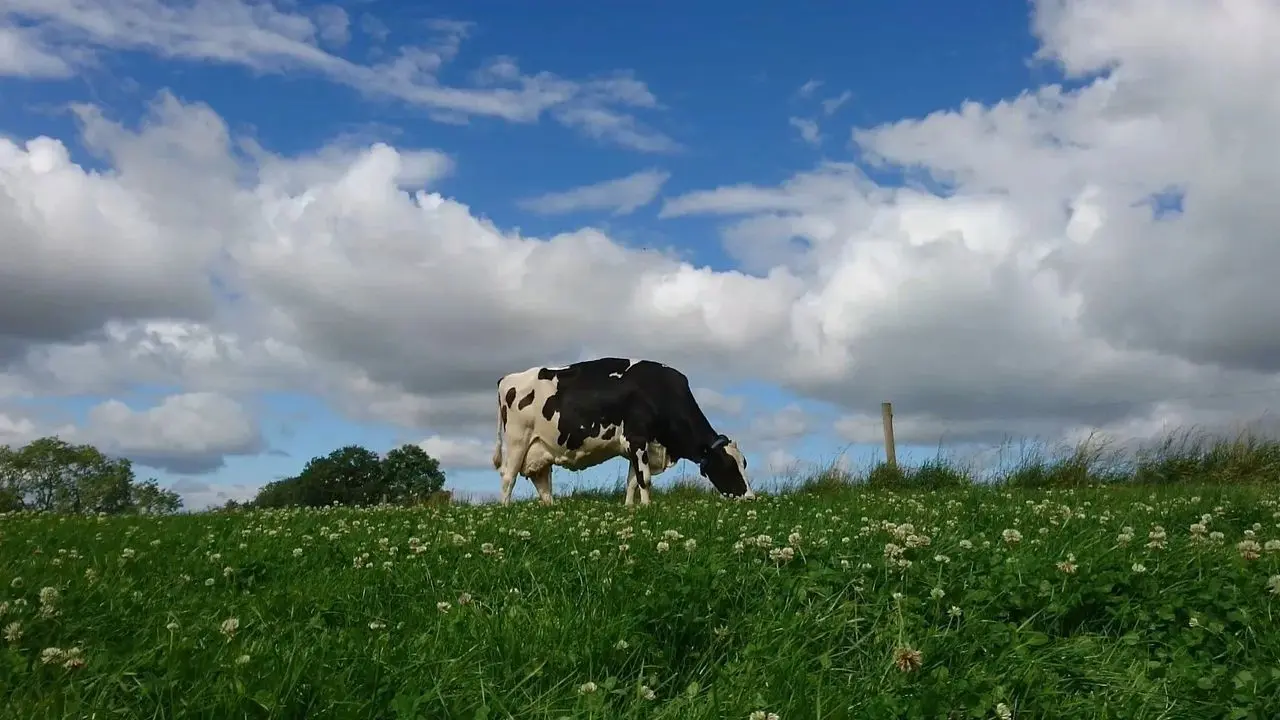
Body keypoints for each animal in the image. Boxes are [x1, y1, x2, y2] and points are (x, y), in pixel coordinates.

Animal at [490, 357, 754, 506]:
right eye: (729, 466)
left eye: (745, 464)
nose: (751, 498)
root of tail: (506, 378)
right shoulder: (636, 438)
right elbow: (644, 479)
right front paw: (647, 507)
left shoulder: (639, 446)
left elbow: (632, 481)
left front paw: (629, 508)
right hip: (517, 441)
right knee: (508, 478)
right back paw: (506, 510)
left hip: (540, 452)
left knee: (543, 486)